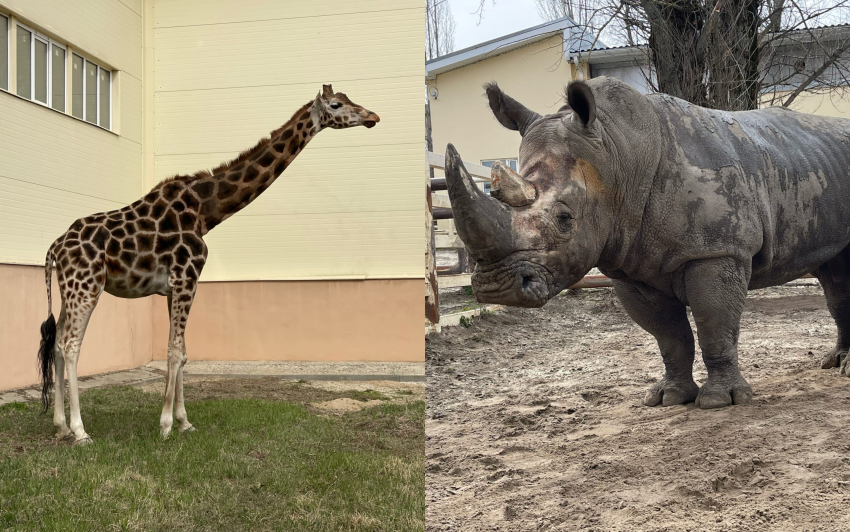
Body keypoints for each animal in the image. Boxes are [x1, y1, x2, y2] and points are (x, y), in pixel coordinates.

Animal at [36, 85, 380, 442]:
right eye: (337, 105)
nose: (374, 116)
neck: (206, 210)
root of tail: (55, 247)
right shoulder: (186, 278)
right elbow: (175, 351)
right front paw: (165, 426)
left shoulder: (174, 287)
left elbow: (183, 351)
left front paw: (184, 421)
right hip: (86, 286)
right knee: (70, 344)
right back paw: (80, 431)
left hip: (69, 289)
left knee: (57, 343)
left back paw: (60, 425)